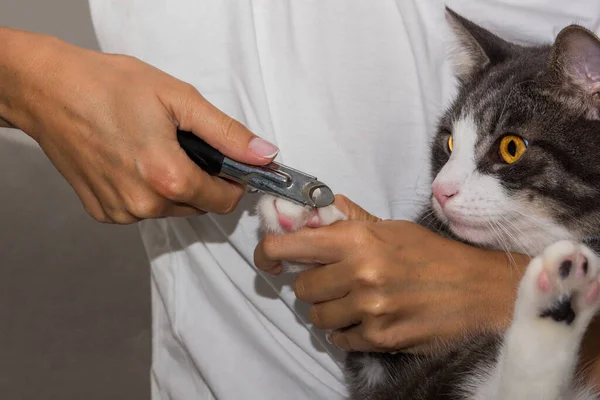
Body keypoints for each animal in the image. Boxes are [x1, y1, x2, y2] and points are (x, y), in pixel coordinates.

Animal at [256, 7, 600, 400]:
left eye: (511, 148)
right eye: (448, 142)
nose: (440, 190)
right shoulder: (381, 373)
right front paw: (307, 213)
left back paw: (561, 295)